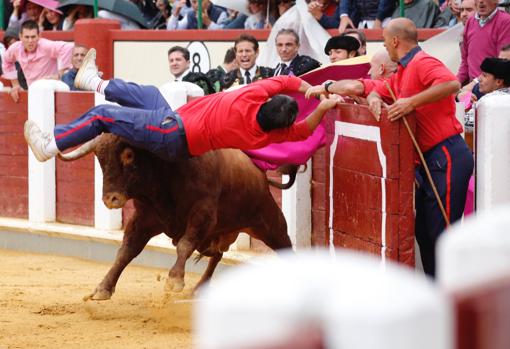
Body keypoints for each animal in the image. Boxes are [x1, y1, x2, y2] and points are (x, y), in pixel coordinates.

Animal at [58, 133, 290, 300]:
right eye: (100, 158)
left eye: (129, 155)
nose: (110, 199)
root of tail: (260, 173)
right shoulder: (143, 219)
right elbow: (126, 251)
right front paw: (103, 288)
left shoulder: (202, 214)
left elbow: (184, 245)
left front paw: (174, 280)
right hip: (222, 232)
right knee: (217, 255)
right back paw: (199, 289)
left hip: (268, 221)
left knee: (285, 245)